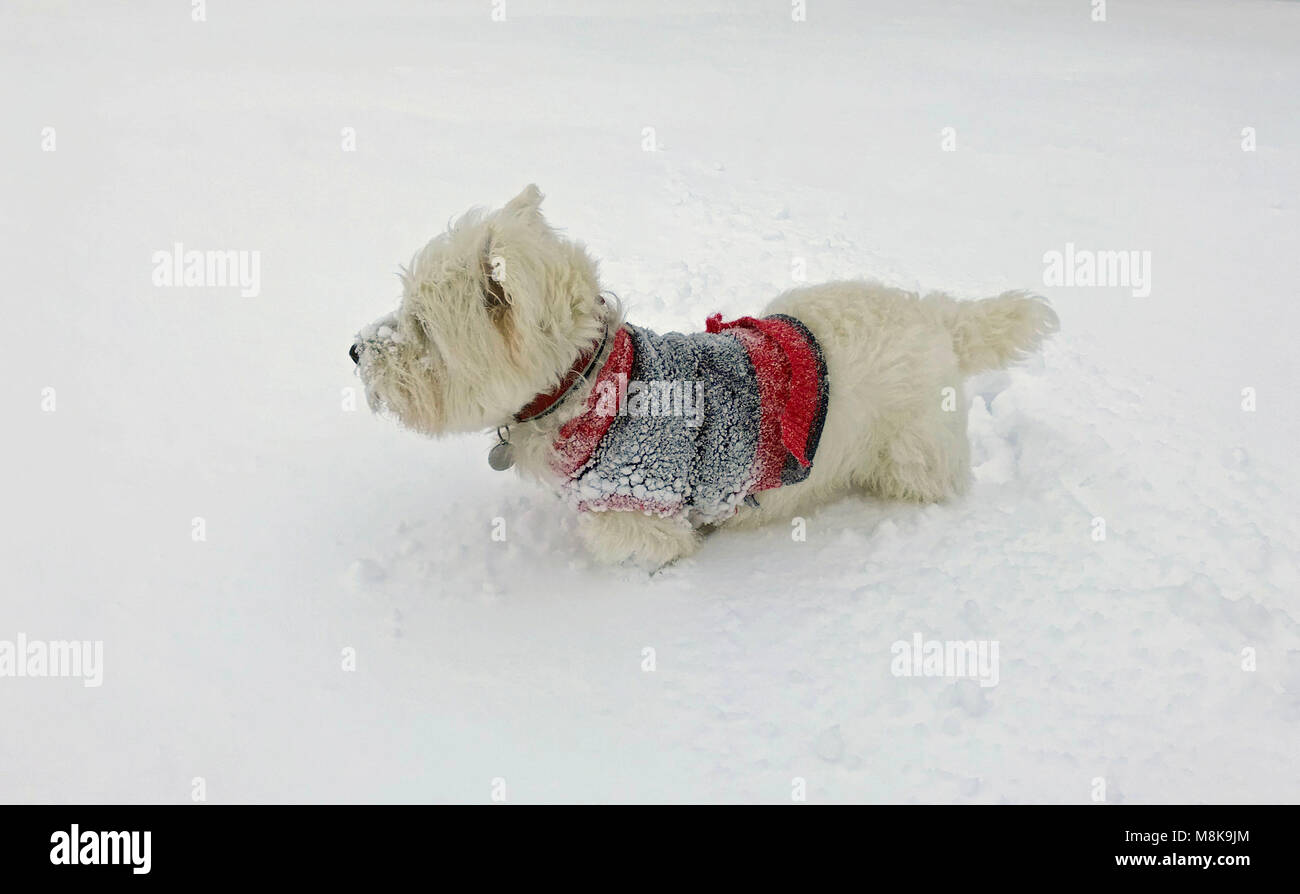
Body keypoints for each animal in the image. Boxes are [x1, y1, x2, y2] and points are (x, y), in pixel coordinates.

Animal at [353, 184, 1055, 566]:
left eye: (421, 325)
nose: (354, 352)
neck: (591, 387)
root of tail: (937, 318)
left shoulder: (642, 517)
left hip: (912, 450)